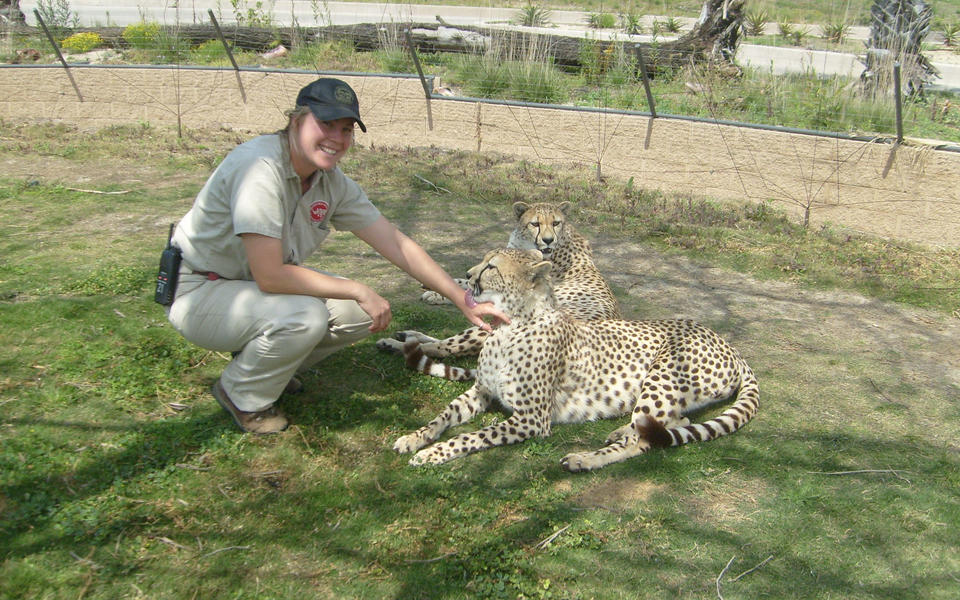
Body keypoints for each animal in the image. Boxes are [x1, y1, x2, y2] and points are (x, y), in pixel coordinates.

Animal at [394, 246, 760, 472]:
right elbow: (442, 416)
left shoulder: (531, 420)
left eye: (491, 266)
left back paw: (585, 459)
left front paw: (433, 453)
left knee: (644, 441)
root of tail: (728, 343)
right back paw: (621, 431)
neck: (509, 326)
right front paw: (416, 438)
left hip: (662, 377)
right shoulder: (481, 391)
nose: (469, 275)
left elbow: (469, 436)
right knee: (673, 422)